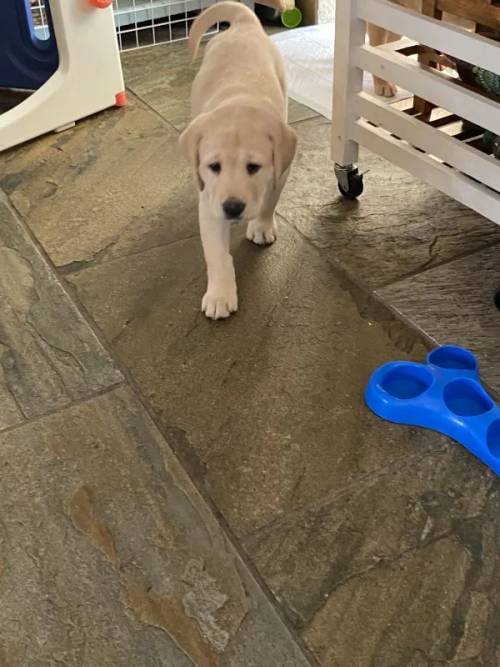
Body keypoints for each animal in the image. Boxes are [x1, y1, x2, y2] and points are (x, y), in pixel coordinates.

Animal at [180, 1, 296, 320]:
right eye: (214, 167)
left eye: (253, 167)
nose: (232, 208)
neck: (240, 100)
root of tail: (245, 22)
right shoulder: (209, 201)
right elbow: (217, 254)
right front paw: (220, 295)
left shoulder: (281, 172)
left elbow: (269, 201)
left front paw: (262, 226)